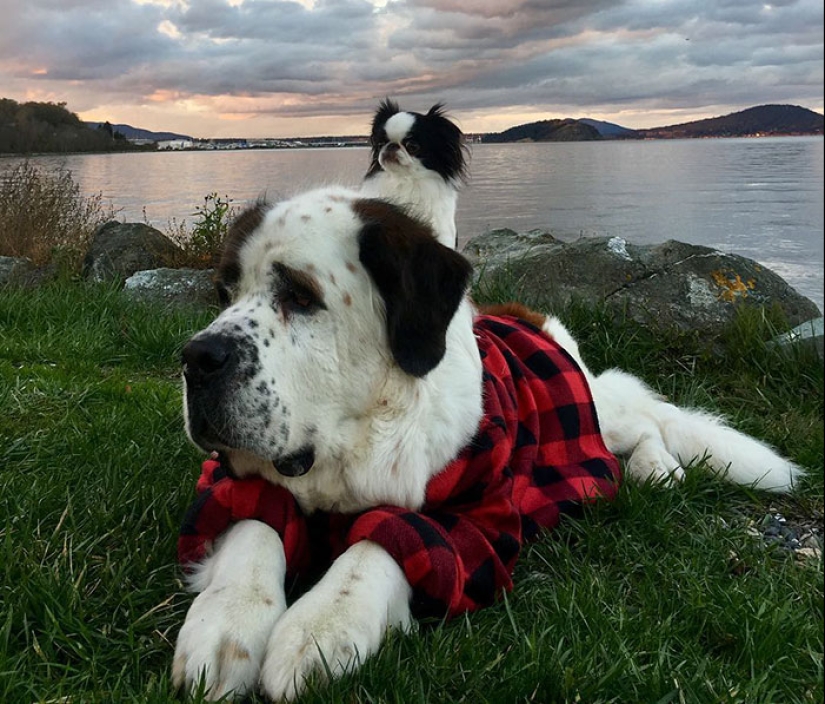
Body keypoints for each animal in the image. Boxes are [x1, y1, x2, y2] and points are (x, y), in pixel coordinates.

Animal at [172, 186, 800, 700]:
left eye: (301, 296)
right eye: (225, 292)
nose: (196, 359)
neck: (354, 444)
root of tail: (525, 315)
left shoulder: (479, 509)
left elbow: (385, 544)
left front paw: (321, 626)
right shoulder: (230, 480)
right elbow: (254, 526)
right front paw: (226, 625)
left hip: (596, 408)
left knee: (641, 419)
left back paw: (656, 468)